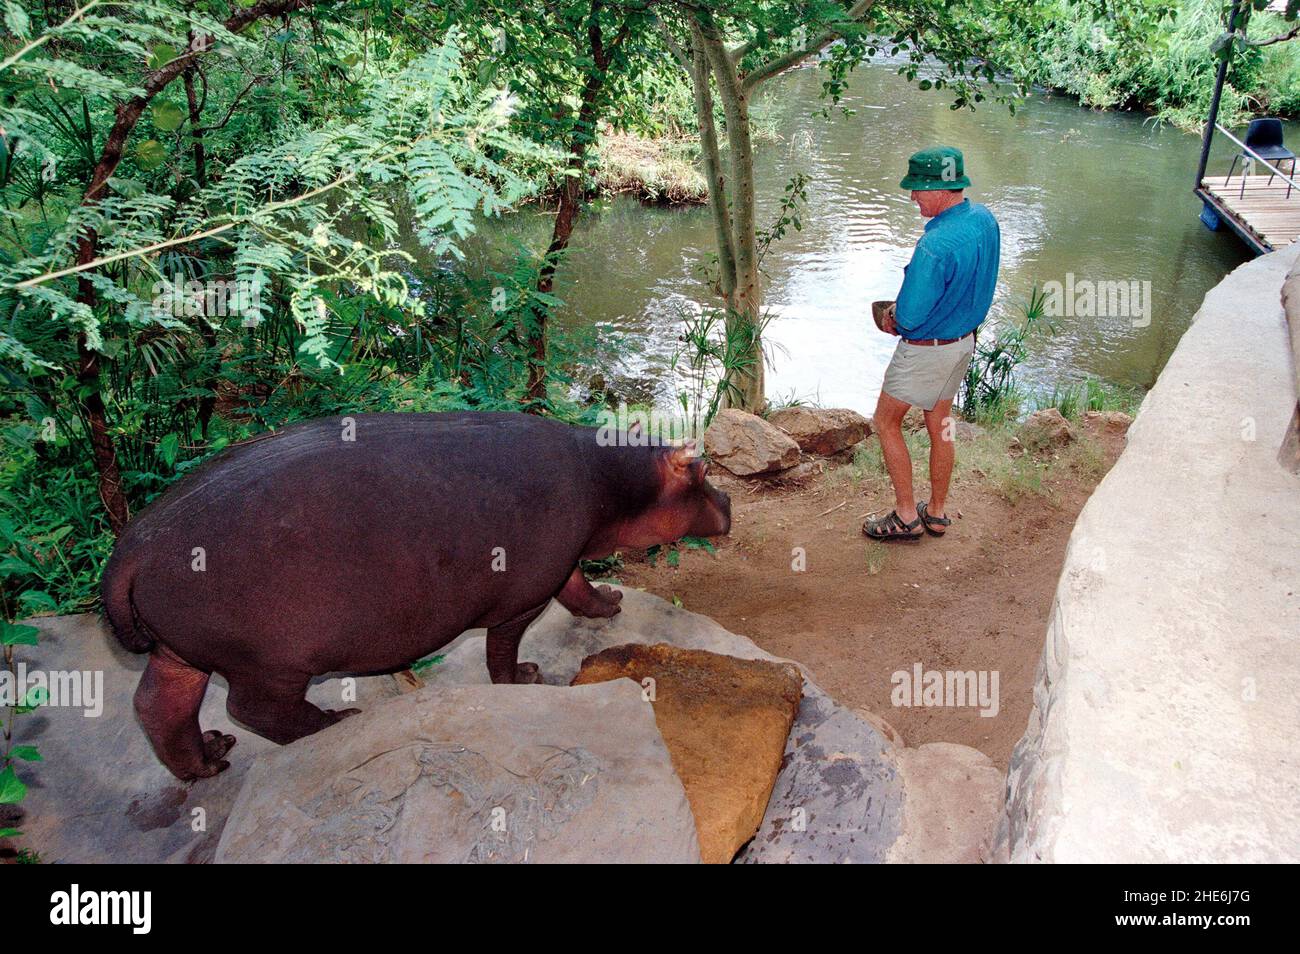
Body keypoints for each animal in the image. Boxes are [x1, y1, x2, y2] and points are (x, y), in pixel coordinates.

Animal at [101, 415, 733, 779]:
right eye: (702, 471)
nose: (730, 500)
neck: (618, 479)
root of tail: (131, 545)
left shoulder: (562, 564)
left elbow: (578, 588)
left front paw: (611, 602)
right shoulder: (524, 595)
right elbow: (502, 648)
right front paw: (526, 677)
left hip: (180, 651)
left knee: (159, 706)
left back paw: (210, 760)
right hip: (268, 664)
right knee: (254, 709)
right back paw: (335, 722)